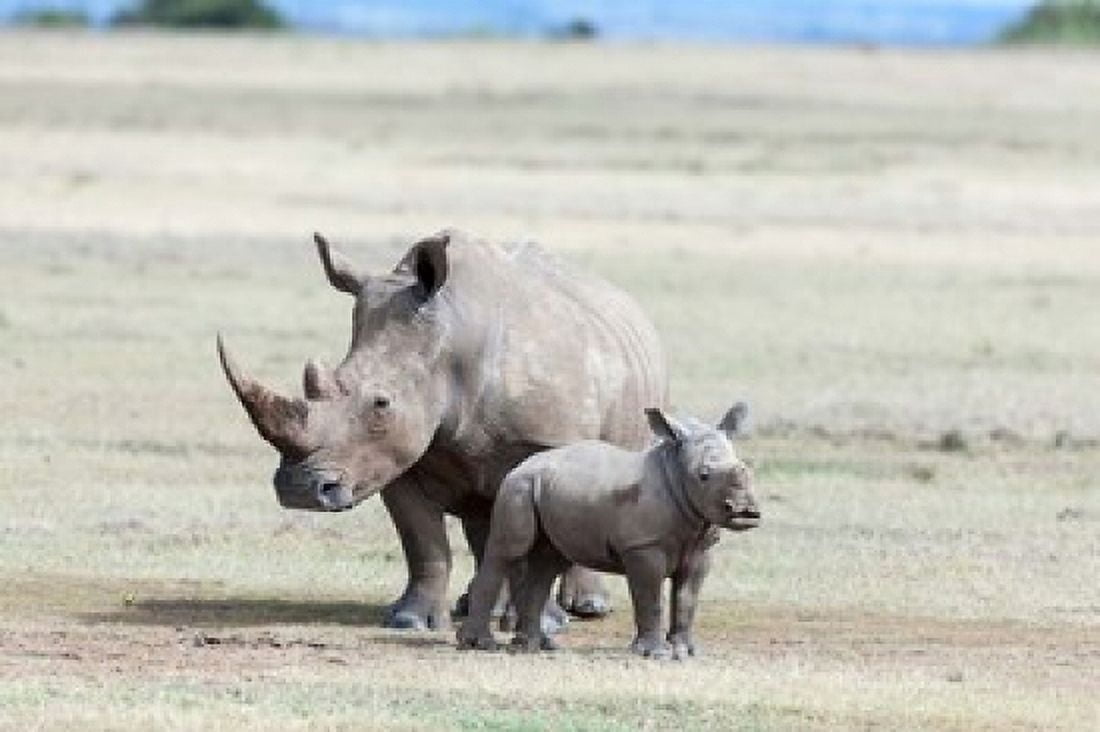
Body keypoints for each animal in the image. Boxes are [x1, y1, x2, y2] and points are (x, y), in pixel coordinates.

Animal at [218, 229, 667, 630]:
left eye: (381, 404)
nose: (299, 491)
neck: (453, 342)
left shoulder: (543, 441)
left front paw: (546, 623)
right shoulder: (392, 456)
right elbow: (422, 541)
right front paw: (410, 620)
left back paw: (586, 608)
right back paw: (479, 606)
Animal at [457, 403, 759, 659]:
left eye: (745, 469)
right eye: (703, 475)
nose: (746, 512)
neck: (675, 470)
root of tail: (520, 466)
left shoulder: (701, 547)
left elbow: (687, 600)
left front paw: (687, 652)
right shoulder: (642, 546)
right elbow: (650, 598)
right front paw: (656, 654)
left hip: (545, 488)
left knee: (547, 563)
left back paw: (535, 646)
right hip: (518, 487)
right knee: (508, 552)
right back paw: (480, 645)